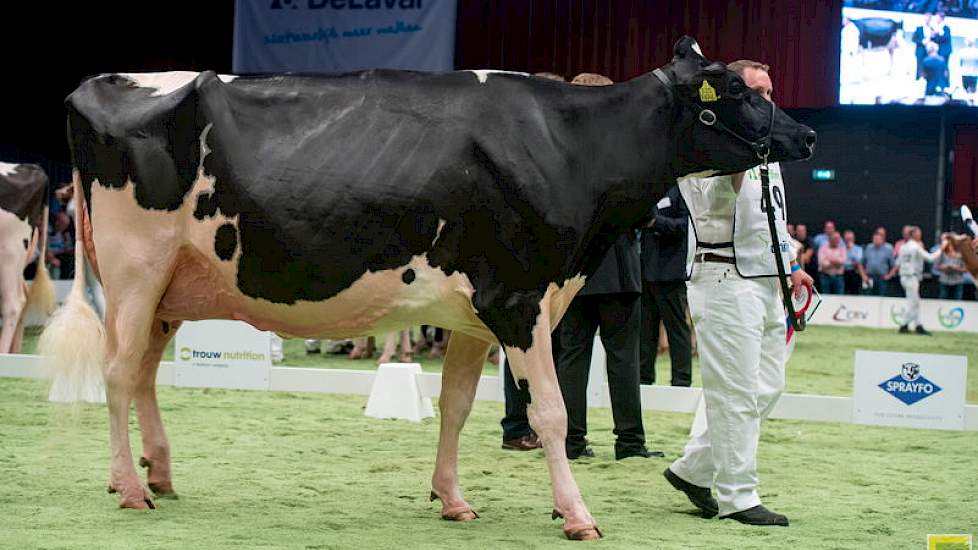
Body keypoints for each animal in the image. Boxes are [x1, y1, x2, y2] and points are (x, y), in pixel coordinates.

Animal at [43, 37, 808, 540]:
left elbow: (457, 407)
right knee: (118, 373)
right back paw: (133, 489)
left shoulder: (474, 312)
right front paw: (577, 514)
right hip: (136, 268)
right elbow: (551, 411)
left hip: (170, 288)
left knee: (143, 372)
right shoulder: (519, 301)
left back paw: (157, 474)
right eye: (736, 92)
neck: (571, 147)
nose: (803, 136)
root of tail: (97, 84)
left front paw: (453, 500)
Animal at [840, 1, 976, 106]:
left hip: (900, 42)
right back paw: (890, 73)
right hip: (891, 45)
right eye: (846, 37)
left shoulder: (861, 47)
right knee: (892, 57)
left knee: (906, 55)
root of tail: (898, 21)